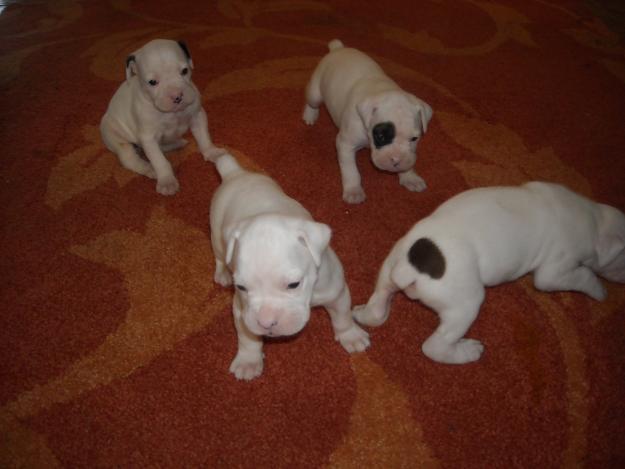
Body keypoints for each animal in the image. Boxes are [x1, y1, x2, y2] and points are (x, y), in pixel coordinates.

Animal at [100, 39, 225, 195]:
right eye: (152, 82)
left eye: (184, 71)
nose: (177, 96)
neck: (172, 113)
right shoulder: (148, 139)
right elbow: (159, 161)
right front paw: (166, 181)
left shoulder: (198, 116)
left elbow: (204, 138)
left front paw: (212, 152)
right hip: (118, 140)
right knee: (130, 159)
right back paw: (149, 169)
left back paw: (177, 143)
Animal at [209, 154, 370, 380]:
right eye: (241, 287)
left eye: (293, 285)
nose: (266, 323)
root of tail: (235, 173)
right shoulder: (242, 312)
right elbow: (247, 337)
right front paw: (248, 360)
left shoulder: (337, 293)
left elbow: (343, 316)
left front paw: (351, 336)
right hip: (217, 233)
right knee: (219, 255)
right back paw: (222, 271)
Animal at [303, 39, 433, 204]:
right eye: (381, 136)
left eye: (414, 139)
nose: (396, 161)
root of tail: (338, 49)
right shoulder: (345, 145)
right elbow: (351, 171)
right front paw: (353, 191)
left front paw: (410, 176)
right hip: (315, 93)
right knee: (312, 101)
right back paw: (310, 115)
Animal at [353, 181, 625, 364]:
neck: (594, 218)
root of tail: (409, 267)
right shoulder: (554, 272)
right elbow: (581, 277)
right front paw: (599, 291)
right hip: (465, 304)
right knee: (434, 346)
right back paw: (466, 352)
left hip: (389, 266)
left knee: (379, 305)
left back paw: (363, 313)